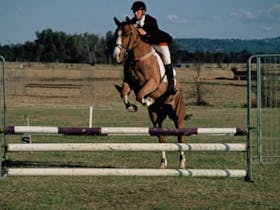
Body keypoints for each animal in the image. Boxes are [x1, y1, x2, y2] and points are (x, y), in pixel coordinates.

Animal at [112, 16, 187, 169]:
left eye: (126, 34)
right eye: (116, 34)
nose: (116, 56)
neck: (138, 57)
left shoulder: (152, 83)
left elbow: (140, 95)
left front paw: (148, 100)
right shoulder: (129, 82)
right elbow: (124, 92)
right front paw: (131, 107)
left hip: (178, 115)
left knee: (180, 136)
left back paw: (182, 162)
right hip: (156, 117)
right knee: (161, 137)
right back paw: (163, 163)